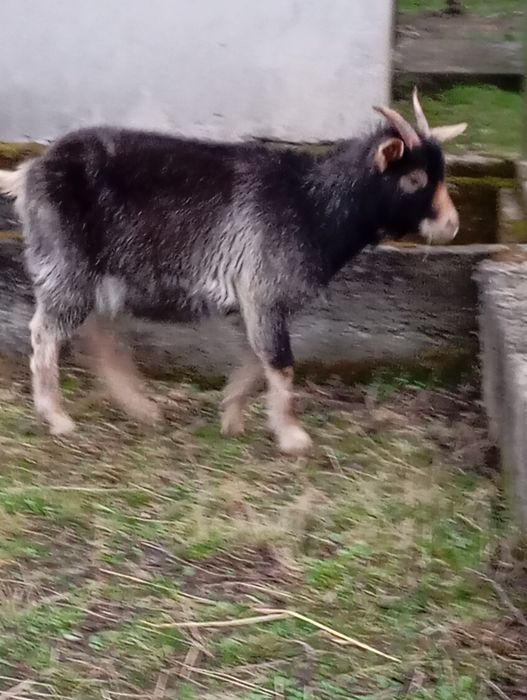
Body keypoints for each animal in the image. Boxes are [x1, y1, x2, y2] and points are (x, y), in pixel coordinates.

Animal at [0, 89, 466, 455]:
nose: (451, 226)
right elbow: (280, 362)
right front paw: (293, 438)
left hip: (96, 274)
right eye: (414, 178)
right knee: (46, 333)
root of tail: (28, 173)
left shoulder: (254, 298)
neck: (312, 203)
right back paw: (59, 418)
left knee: (97, 335)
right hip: (67, 264)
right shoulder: (264, 289)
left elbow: (256, 360)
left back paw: (141, 408)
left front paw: (232, 418)